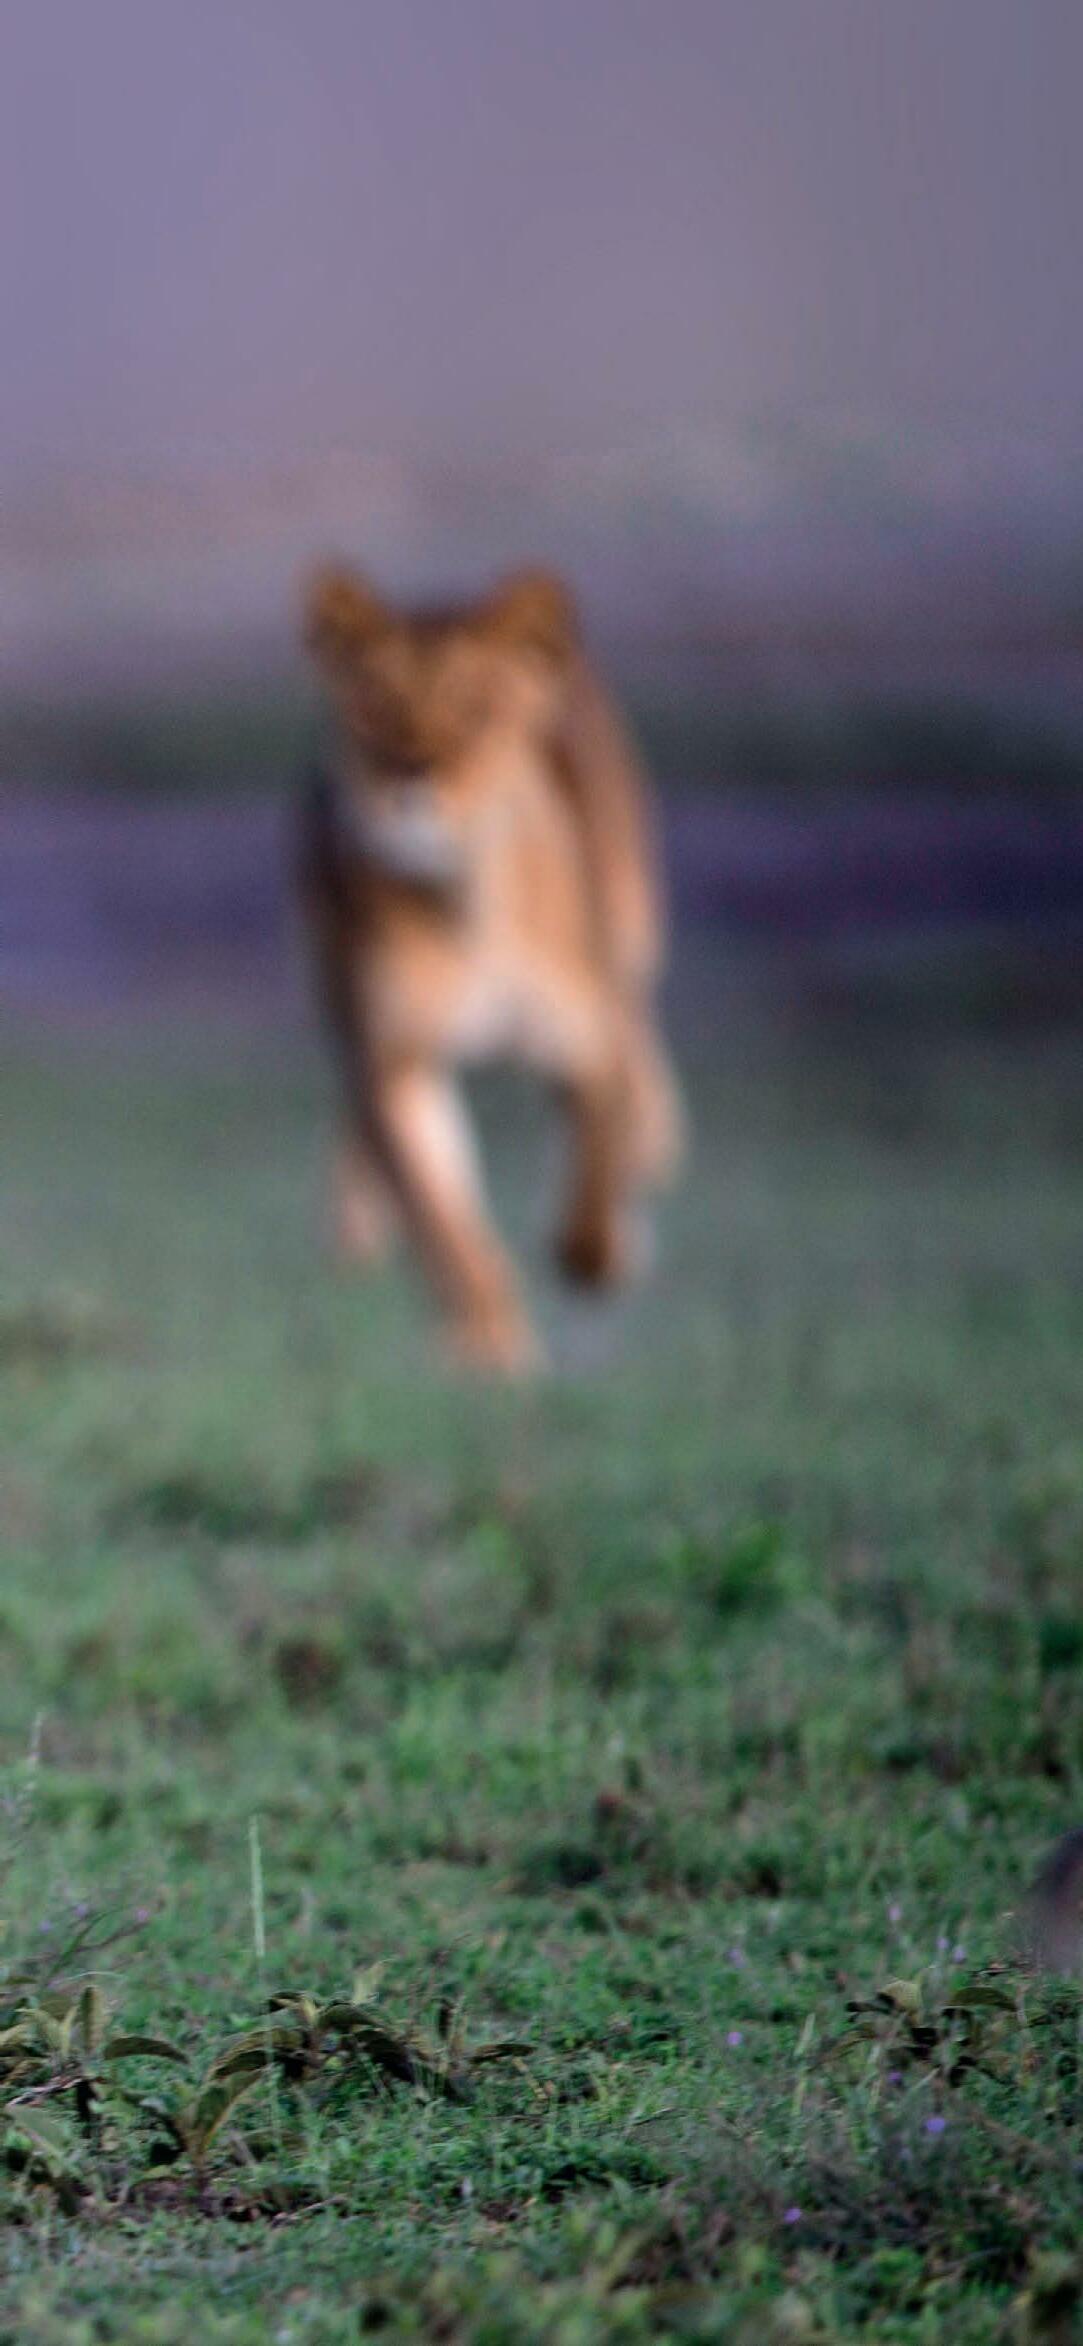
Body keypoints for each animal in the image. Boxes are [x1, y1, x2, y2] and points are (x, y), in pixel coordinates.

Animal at [295, 563, 684, 1373]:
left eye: (474, 711)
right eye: (373, 709)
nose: (412, 774)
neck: (460, 902)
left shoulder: (583, 1040)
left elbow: (593, 1172)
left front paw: (603, 1255)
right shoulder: (396, 1060)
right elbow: (445, 1223)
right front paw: (488, 1345)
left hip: (634, 923)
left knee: (640, 1035)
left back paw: (656, 1145)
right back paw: (353, 1222)